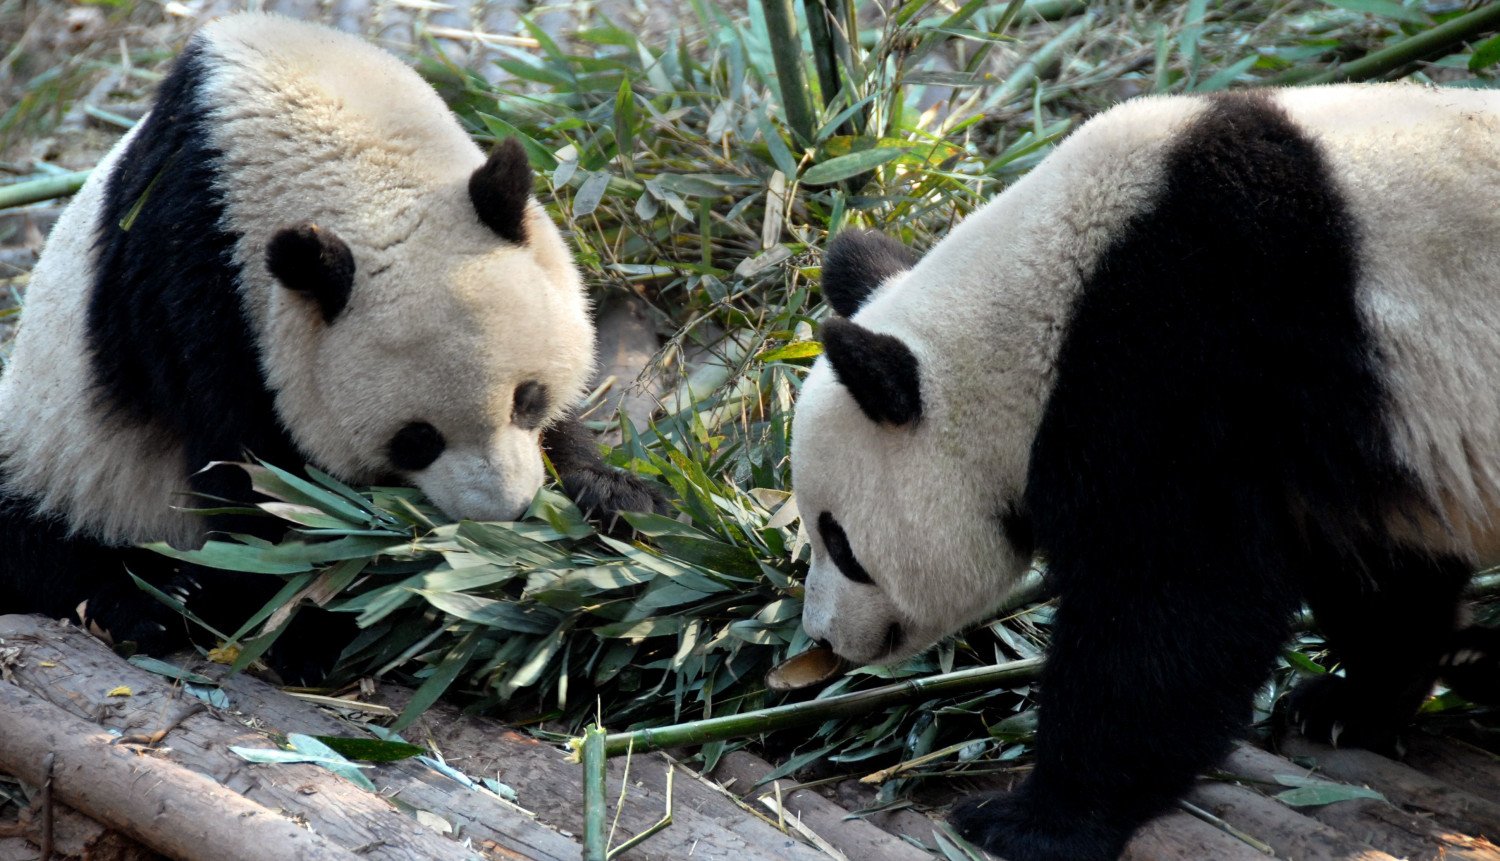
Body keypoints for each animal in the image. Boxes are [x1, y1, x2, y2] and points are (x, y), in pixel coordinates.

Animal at [0, 13, 660, 684]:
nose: (504, 513)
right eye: (416, 439)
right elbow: (251, 477)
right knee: (41, 542)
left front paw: (616, 498)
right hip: (62, 460)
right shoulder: (198, 292)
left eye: (528, 399)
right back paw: (147, 602)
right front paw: (310, 623)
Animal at [792, 86, 1500, 861]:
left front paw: (1034, 819)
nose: (822, 637)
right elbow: (1377, 572)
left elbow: (1170, 610)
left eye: (841, 543)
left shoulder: (1182, 368)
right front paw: (1351, 705)